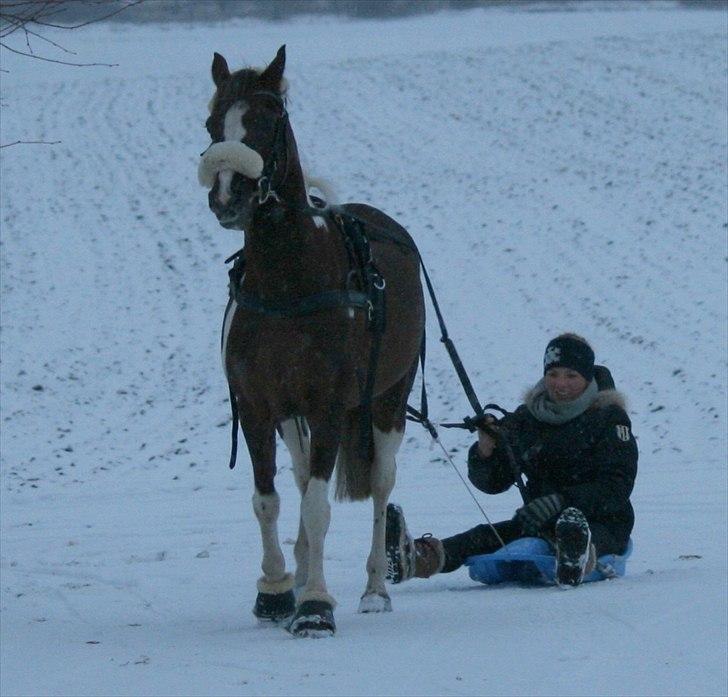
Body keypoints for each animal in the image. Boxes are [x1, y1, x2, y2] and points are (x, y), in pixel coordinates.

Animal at [199, 46, 426, 636]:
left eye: (268, 120)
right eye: (212, 124)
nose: (228, 196)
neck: (288, 282)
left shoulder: (327, 407)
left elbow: (320, 508)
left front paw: (317, 606)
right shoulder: (259, 407)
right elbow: (271, 501)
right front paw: (278, 592)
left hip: (387, 402)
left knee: (381, 484)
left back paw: (374, 588)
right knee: (302, 482)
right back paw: (301, 575)